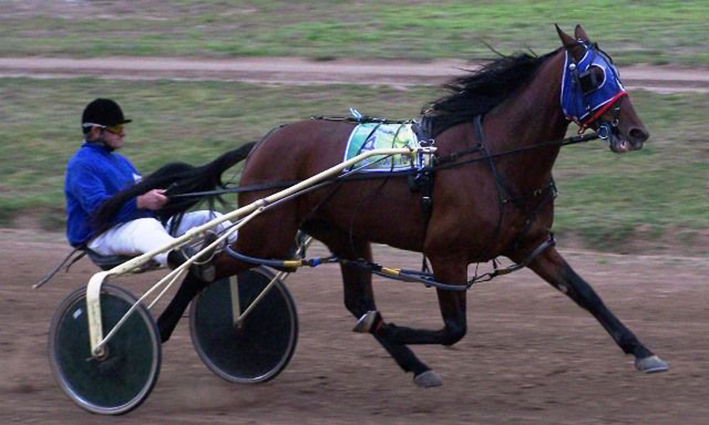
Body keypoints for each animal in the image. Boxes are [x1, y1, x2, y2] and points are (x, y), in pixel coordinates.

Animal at [92, 24, 664, 386]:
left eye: (614, 69)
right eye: (591, 76)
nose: (636, 132)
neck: (493, 157)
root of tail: (265, 142)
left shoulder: (531, 244)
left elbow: (587, 294)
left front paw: (643, 352)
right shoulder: (448, 255)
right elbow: (454, 330)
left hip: (343, 234)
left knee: (353, 298)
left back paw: (412, 365)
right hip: (268, 232)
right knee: (204, 267)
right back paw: (147, 335)